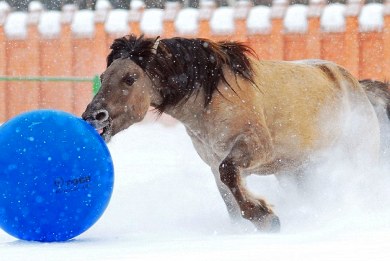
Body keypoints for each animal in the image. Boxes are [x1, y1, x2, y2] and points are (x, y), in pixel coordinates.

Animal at [82, 34, 390, 232]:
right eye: (103, 76)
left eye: (130, 78)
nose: (93, 116)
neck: (212, 97)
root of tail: (358, 87)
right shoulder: (213, 162)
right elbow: (230, 199)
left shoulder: (253, 149)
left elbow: (229, 174)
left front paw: (266, 217)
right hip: (299, 171)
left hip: (353, 162)